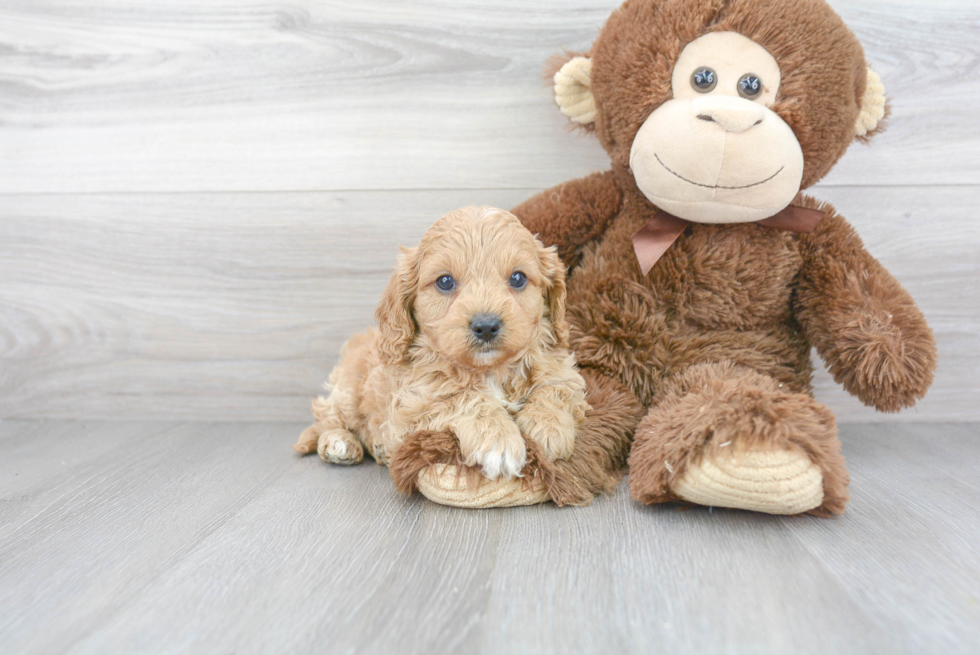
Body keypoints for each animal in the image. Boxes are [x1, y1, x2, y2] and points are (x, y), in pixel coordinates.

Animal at [288, 208, 584, 484]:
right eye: (445, 281)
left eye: (518, 278)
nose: (486, 326)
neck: (489, 370)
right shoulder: (412, 408)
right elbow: (463, 398)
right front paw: (498, 439)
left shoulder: (561, 368)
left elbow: (557, 386)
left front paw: (548, 427)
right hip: (348, 391)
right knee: (327, 420)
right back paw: (340, 443)